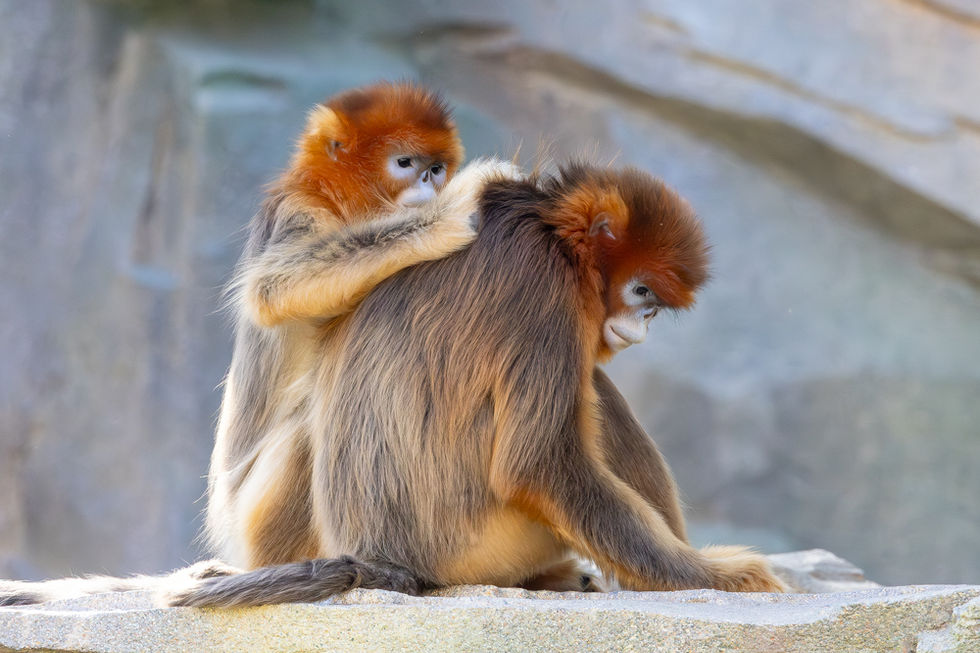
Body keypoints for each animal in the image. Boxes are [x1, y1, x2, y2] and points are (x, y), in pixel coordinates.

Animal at [165, 163, 786, 608]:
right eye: (641, 293)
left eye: (653, 304)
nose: (644, 324)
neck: (543, 227)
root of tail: (383, 558)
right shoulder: (544, 288)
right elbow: (536, 465)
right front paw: (722, 576)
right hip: (482, 549)